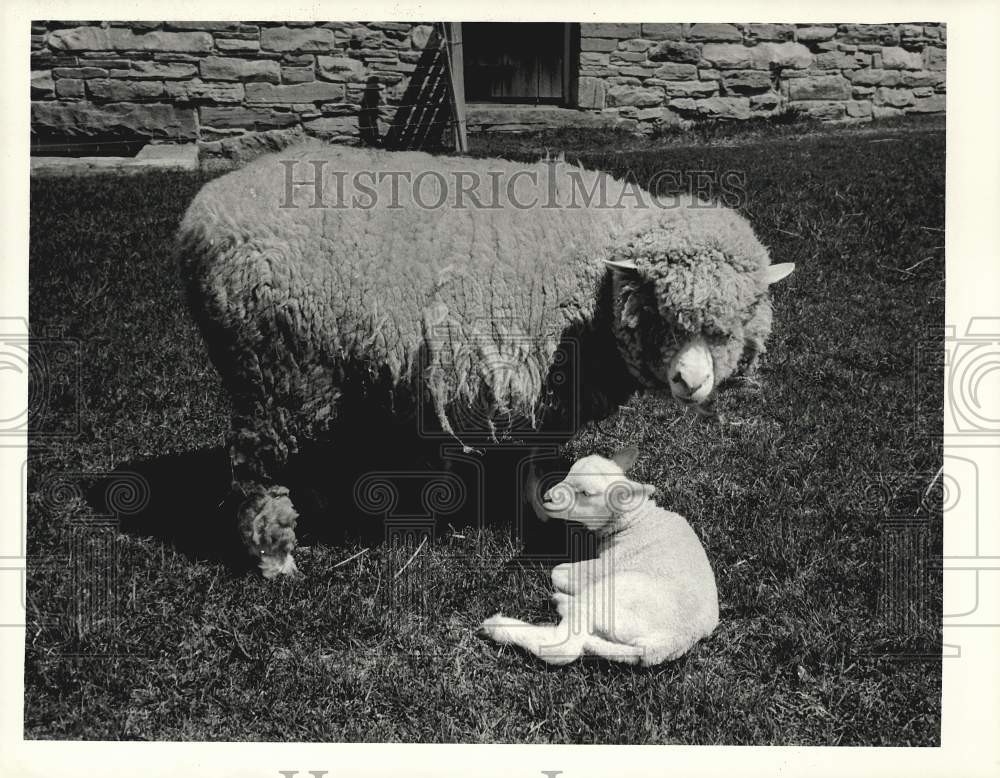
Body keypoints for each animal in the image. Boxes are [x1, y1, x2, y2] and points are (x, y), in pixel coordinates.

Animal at [176, 142, 792, 572]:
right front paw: (541, 503)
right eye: (660, 312)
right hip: (275, 367)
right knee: (254, 463)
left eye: (733, 324)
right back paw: (275, 556)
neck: (597, 268)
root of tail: (201, 219)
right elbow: (537, 457)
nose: (691, 382)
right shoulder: (548, 378)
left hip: (293, 374)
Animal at [478, 446, 720, 664]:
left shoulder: (605, 565)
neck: (635, 521)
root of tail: (668, 644)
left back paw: (498, 626)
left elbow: (558, 573)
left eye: (586, 494)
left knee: (565, 647)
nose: (546, 498)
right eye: (568, 473)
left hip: (614, 593)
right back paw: (563, 602)